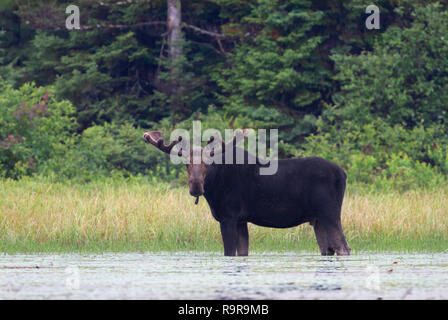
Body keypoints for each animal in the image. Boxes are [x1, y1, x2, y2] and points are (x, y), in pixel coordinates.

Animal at [144, 129, 350, 256]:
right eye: (186, 163)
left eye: (208, 163)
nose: (196, 186)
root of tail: (343, 174)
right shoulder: (241, 220)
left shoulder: (228, 216)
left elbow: (228, 253)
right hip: (317, 219)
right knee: (328, 249)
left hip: (329, 212)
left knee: (343, 247)